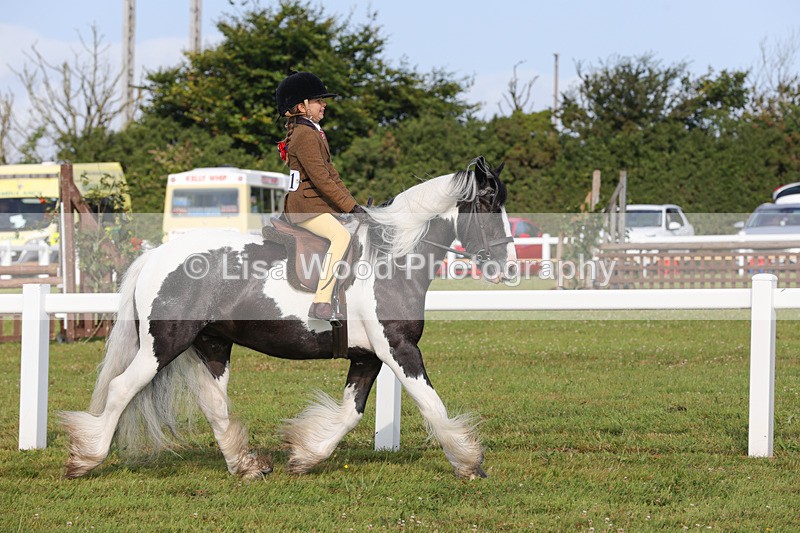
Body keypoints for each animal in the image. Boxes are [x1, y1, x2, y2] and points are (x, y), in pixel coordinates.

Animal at [60, 156, 517, 480]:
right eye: (487, 204)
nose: (509, 268)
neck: (392, 260)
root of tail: (154, 256)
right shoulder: (399, 350)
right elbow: (431, 404)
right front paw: (469, 462)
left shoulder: (368, 356)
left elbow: (350, 412)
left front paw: (305, 455)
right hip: (164, 345)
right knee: (122, 389)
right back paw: (86, 458)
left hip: (212, 345)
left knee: (214, 404)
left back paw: (245, 465)